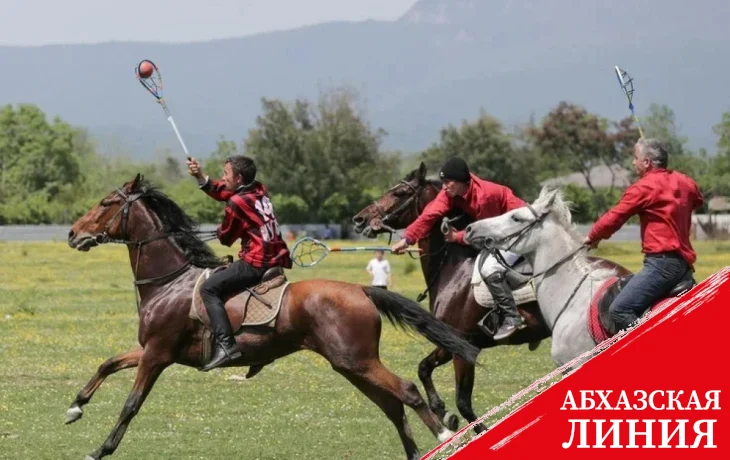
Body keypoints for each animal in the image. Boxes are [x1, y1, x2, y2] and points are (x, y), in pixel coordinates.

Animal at [65, 174, 480, 460]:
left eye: (105, 203)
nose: (72, 233)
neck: (170, 281)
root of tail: (361, 290)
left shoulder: (157, 355)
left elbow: (130, 404)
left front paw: (101, 449)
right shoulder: (151, 349)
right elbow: (107, 364)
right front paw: (75, 406)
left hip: (357, 361)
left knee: (406, 391)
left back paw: (446, 436)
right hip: (351, 365)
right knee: (392, 404)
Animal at [352, 163, 552, 434]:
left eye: (399, 193)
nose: (359, 219)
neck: (453, 268)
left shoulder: (462, 347)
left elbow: (464, 403)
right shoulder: (451, 343)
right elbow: (424, 368)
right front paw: (442, 411)